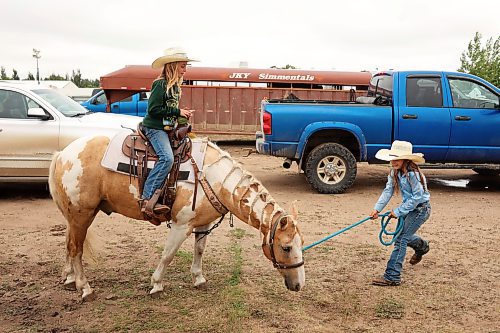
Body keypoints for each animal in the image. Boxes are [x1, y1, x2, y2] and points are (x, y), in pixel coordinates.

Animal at [48, 134, 304, 300]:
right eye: (286, 247)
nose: (299, 285)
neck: (212, 176)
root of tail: (63, 154)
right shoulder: (182, 225)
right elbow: (168, 254)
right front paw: (156, 284)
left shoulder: (203, 222)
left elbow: (199, 250)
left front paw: (198, 278)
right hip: (82, 213)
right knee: (76, 248)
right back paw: (85, 288)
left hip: (74, 216)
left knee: (68, 244)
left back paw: (69, 279)